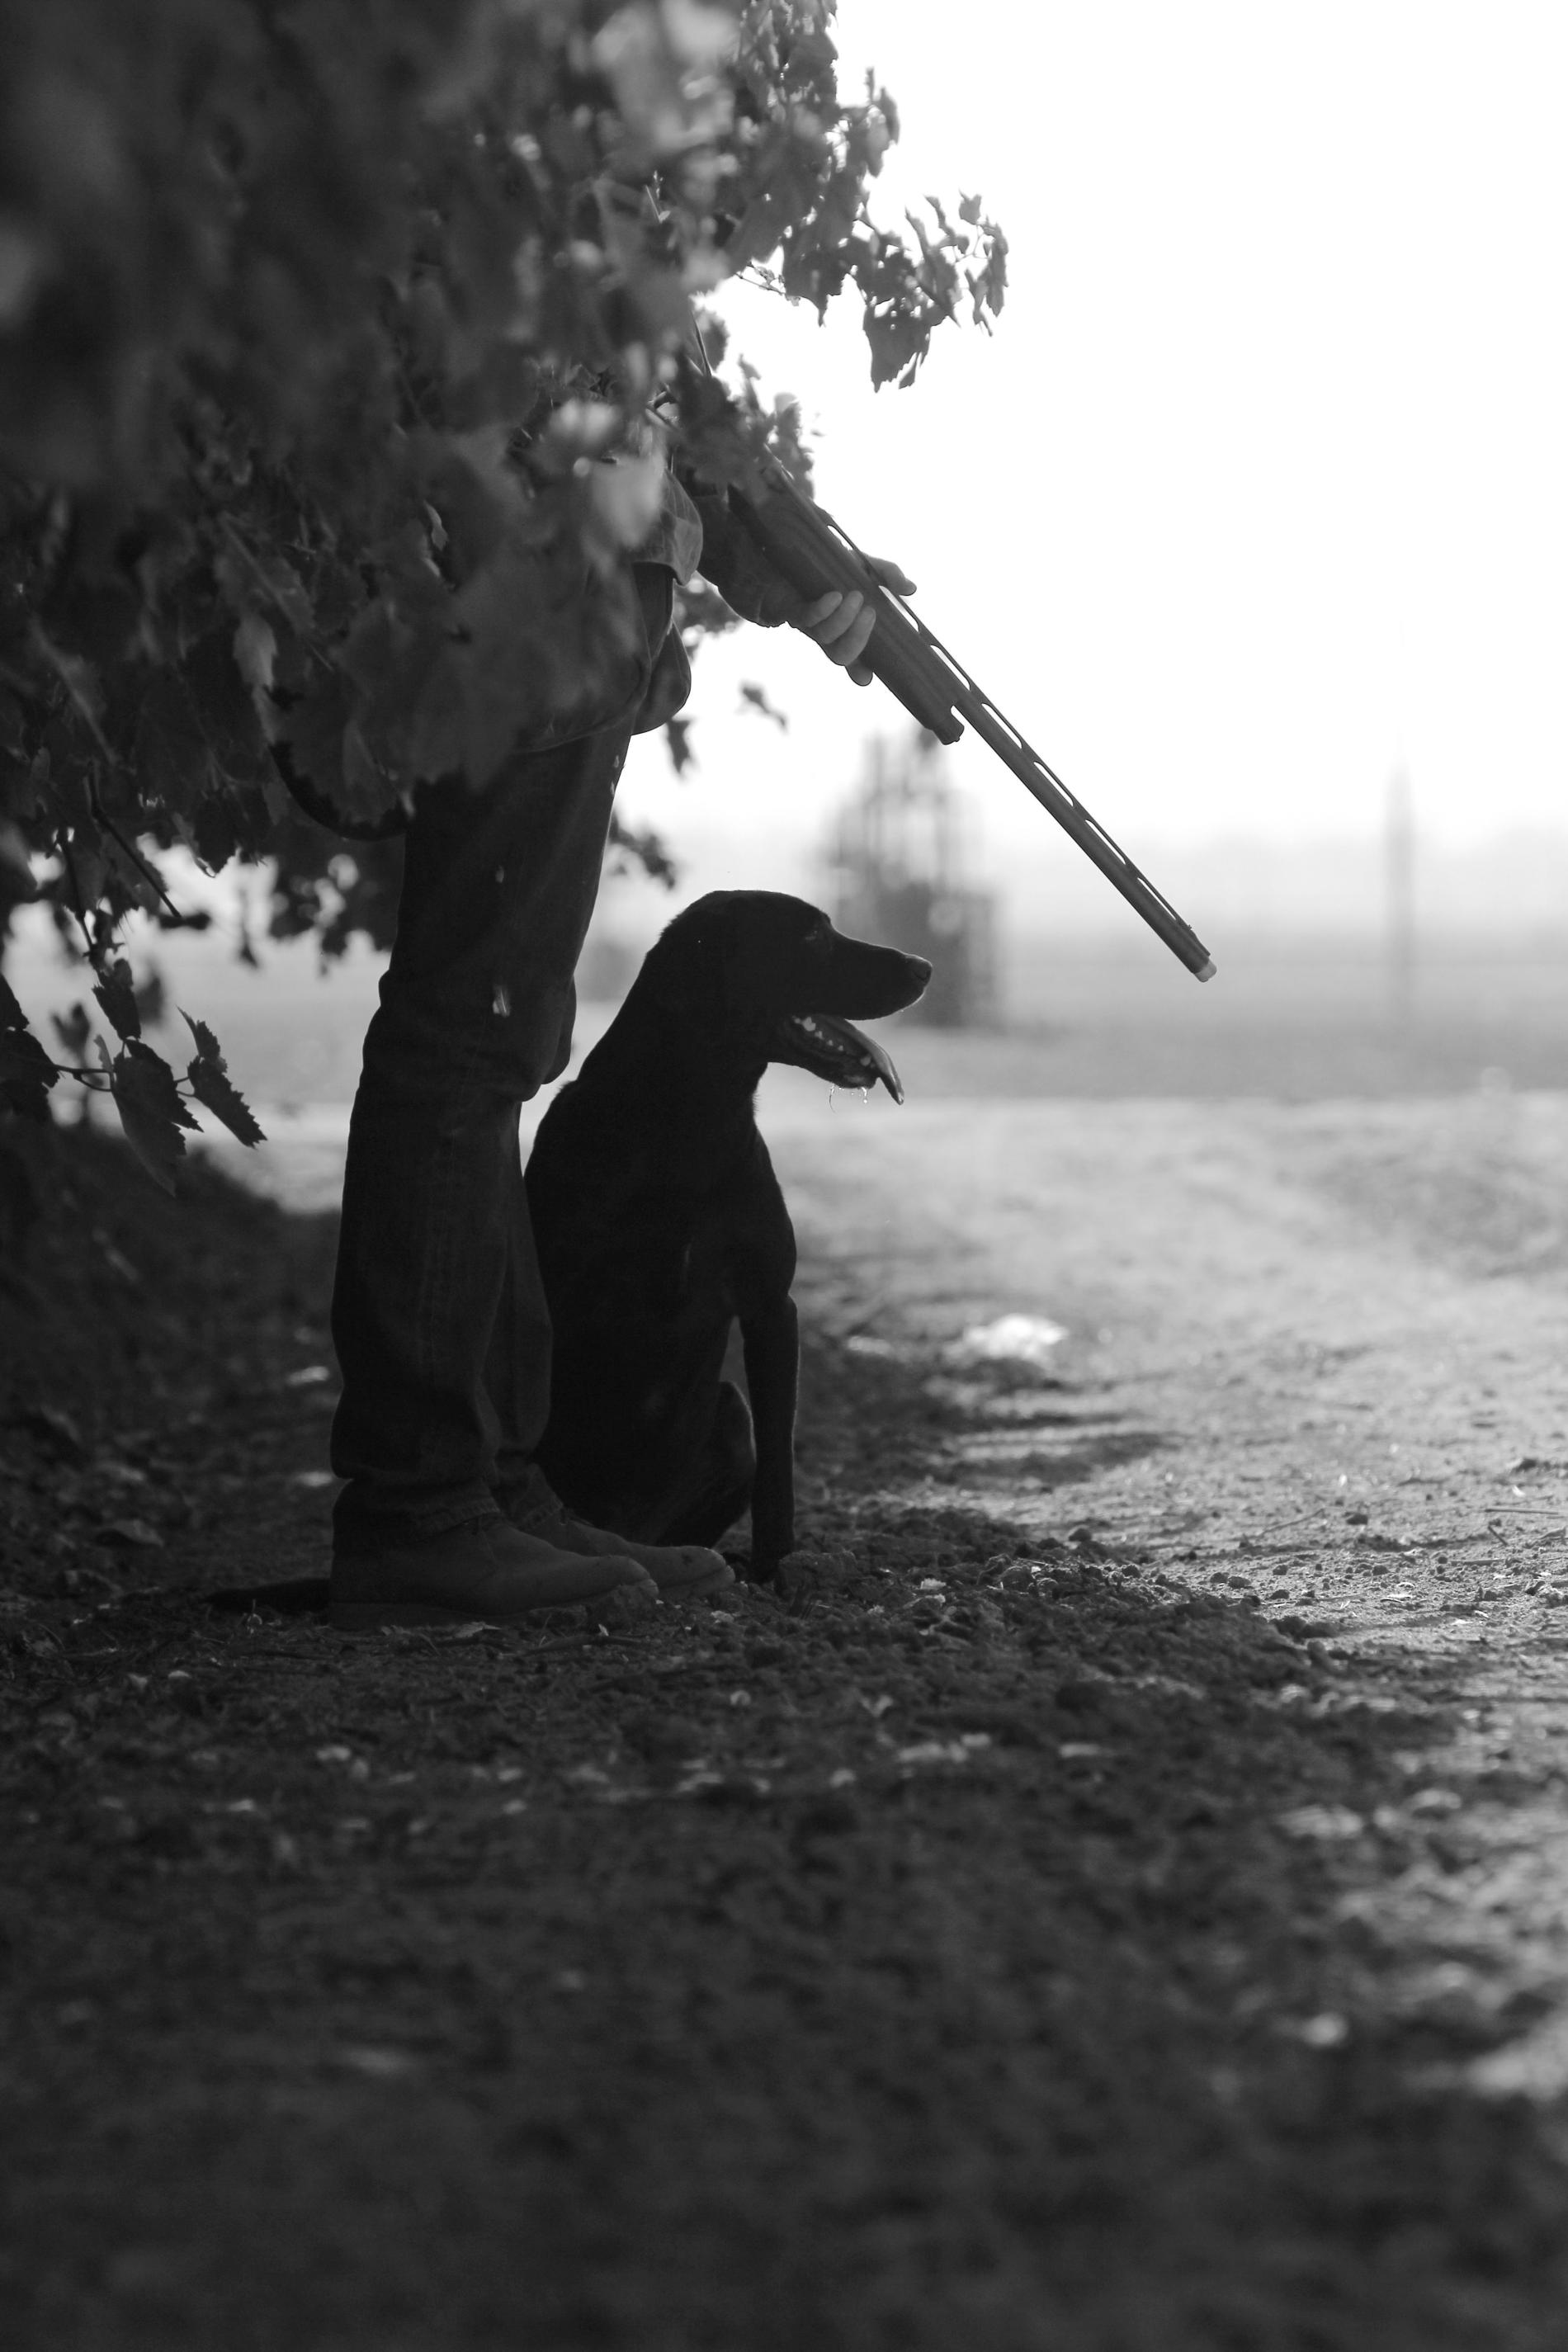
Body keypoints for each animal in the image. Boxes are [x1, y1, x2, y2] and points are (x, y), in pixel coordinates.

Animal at [524, 891, 931, 1579]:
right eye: (812, 936)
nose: (924, 967)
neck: (693, 1122)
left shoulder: (771, 1305)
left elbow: (779, 1465)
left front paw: (777, 1568)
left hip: (728, 1413)